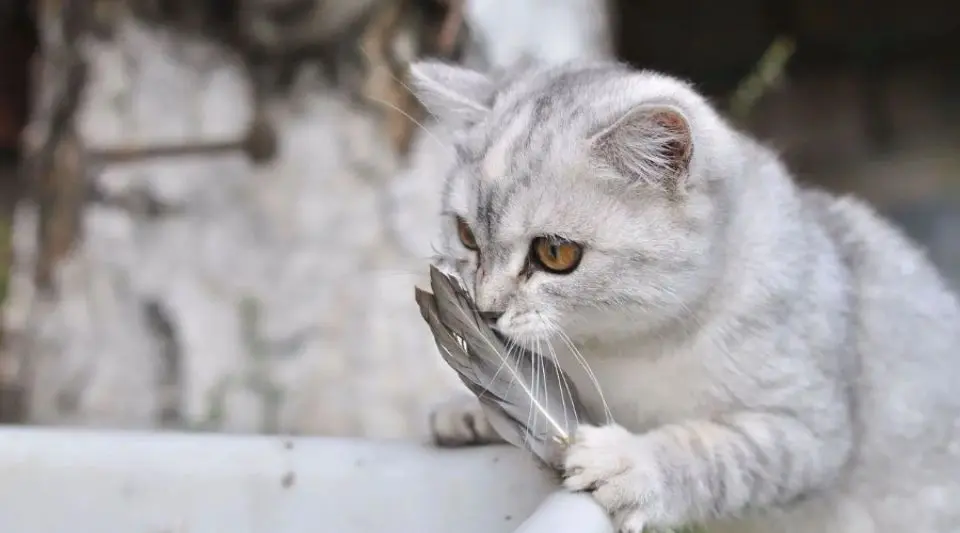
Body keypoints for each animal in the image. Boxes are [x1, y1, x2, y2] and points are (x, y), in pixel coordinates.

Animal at [408, 58, 960, 532]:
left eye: (555, 253)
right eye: (466, 235)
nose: (485, 310)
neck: (622, 351)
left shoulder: (811, 429)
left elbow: (716, 454)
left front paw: (632, 465)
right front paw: (469, 410)